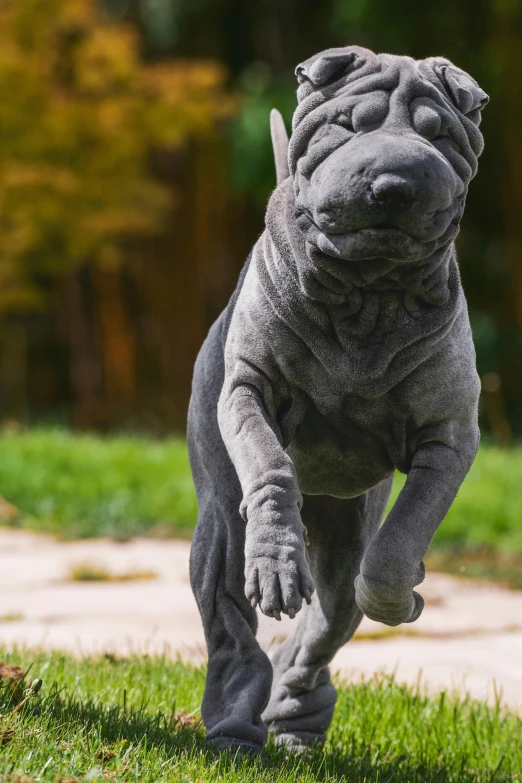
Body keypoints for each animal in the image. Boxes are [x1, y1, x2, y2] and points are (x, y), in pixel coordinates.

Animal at [188, 46, 488, 756]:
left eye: (439, 135)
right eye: (350, 125)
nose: (395, 183)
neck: (366, 295)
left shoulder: (451, 435)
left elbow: (399, 542)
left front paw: (403, 597)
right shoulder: (248, 388)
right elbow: (269, 464)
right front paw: (275, 563)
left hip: (347, 526)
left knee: (326, 618)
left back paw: (295, 721)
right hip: (218, 521)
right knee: (227, 607)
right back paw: (235, 725)